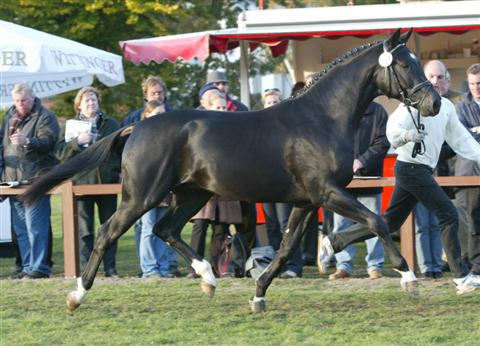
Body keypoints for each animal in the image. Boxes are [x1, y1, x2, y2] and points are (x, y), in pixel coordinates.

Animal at [24, 28, 440, 312]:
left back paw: (208, 278)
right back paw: (77, 295)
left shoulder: (307, 201)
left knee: (164, 229)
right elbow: (377, 221)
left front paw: (261, 294)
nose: (434, 103)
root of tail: (137, 127)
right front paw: (408, 278)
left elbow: (287, 248)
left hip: (193, 194)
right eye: (404, 64)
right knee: (108, 233)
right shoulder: (326, 193)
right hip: (142, 195)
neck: (322, 118)